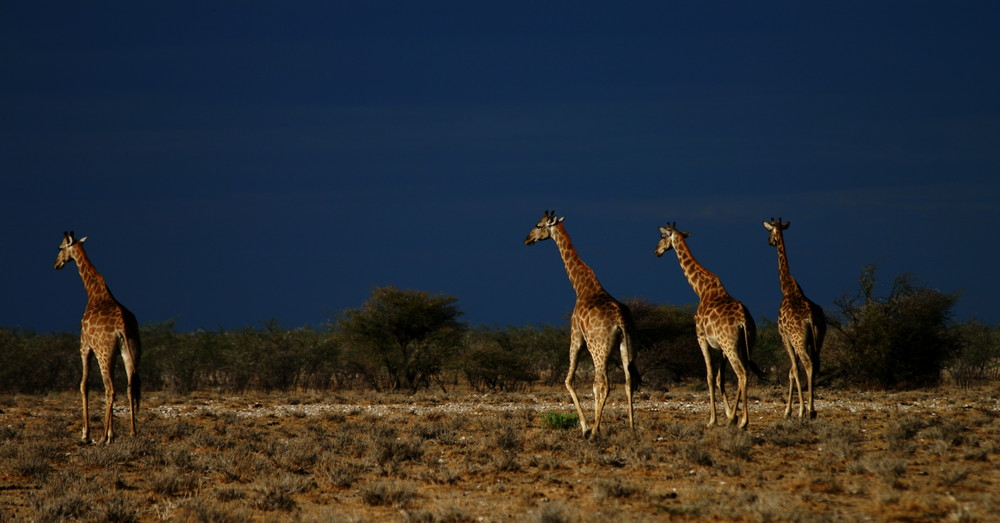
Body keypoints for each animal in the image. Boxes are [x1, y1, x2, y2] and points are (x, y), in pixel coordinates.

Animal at [53, 231, 141, 444]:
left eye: (60, 247)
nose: (56, 264)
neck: (93, 292)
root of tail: (122, 326)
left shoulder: (85, 345)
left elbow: (83, 385)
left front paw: (86, 434)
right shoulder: (114, 352)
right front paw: (112, 433)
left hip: (103, 353)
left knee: (110, 389)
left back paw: (102, 438)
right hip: (130, 351)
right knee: (129, 387)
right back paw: (132, 433)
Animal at [524, 210, 640, 438]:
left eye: (539, 225)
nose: (527, 239)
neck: (582, 287)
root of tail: (620, 320)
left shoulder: (576, 336)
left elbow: (569, 380)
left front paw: (587, 427)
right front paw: (596, 425)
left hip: (599, 347)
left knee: (603, 384)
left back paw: (593, 432)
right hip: (627, 345)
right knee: (628, 381)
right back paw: (631, 428)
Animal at [656, 222, 756, 430]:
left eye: (662, 237)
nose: (656, 251)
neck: (701, 290)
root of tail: (743, 320)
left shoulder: (701, 338)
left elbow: (710, 377)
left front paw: (712, 419)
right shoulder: (721, 347)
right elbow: (720, 379)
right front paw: (730, 416)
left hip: (731, 345)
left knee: (741, 373)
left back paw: (744, 422)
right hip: (745, 344)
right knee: (745, 372)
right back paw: (738, 419)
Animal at [764, 219, 828, 420]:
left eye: (770, 232)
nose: (769, 242)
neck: (787, 287)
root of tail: (811, 318)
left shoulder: (784, 337)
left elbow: (793, 370)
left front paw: (791, 411)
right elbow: (793, 371)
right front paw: (791, 410)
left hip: (799, 340)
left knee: (807, 364)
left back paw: (809, 411)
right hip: (818, 339)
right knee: (815, 364)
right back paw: (811, 410)